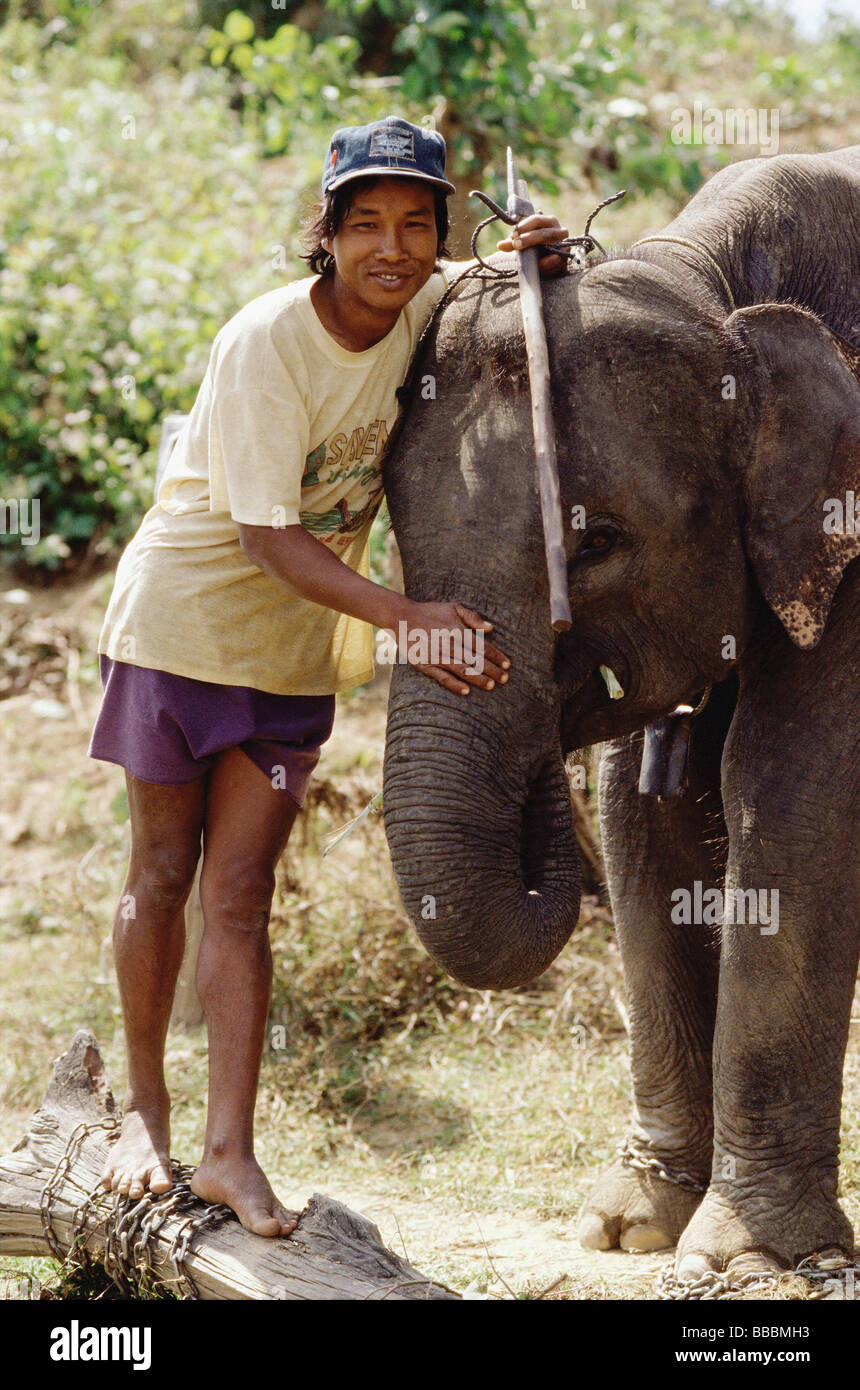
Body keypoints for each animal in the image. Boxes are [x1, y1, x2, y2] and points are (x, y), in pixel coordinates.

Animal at [383, 143, 860, 1278]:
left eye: (595, 541)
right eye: (393, 525)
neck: (711, 279)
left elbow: (791, 790)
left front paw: (740, 1257)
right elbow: (644, 821)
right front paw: (631, 1227)